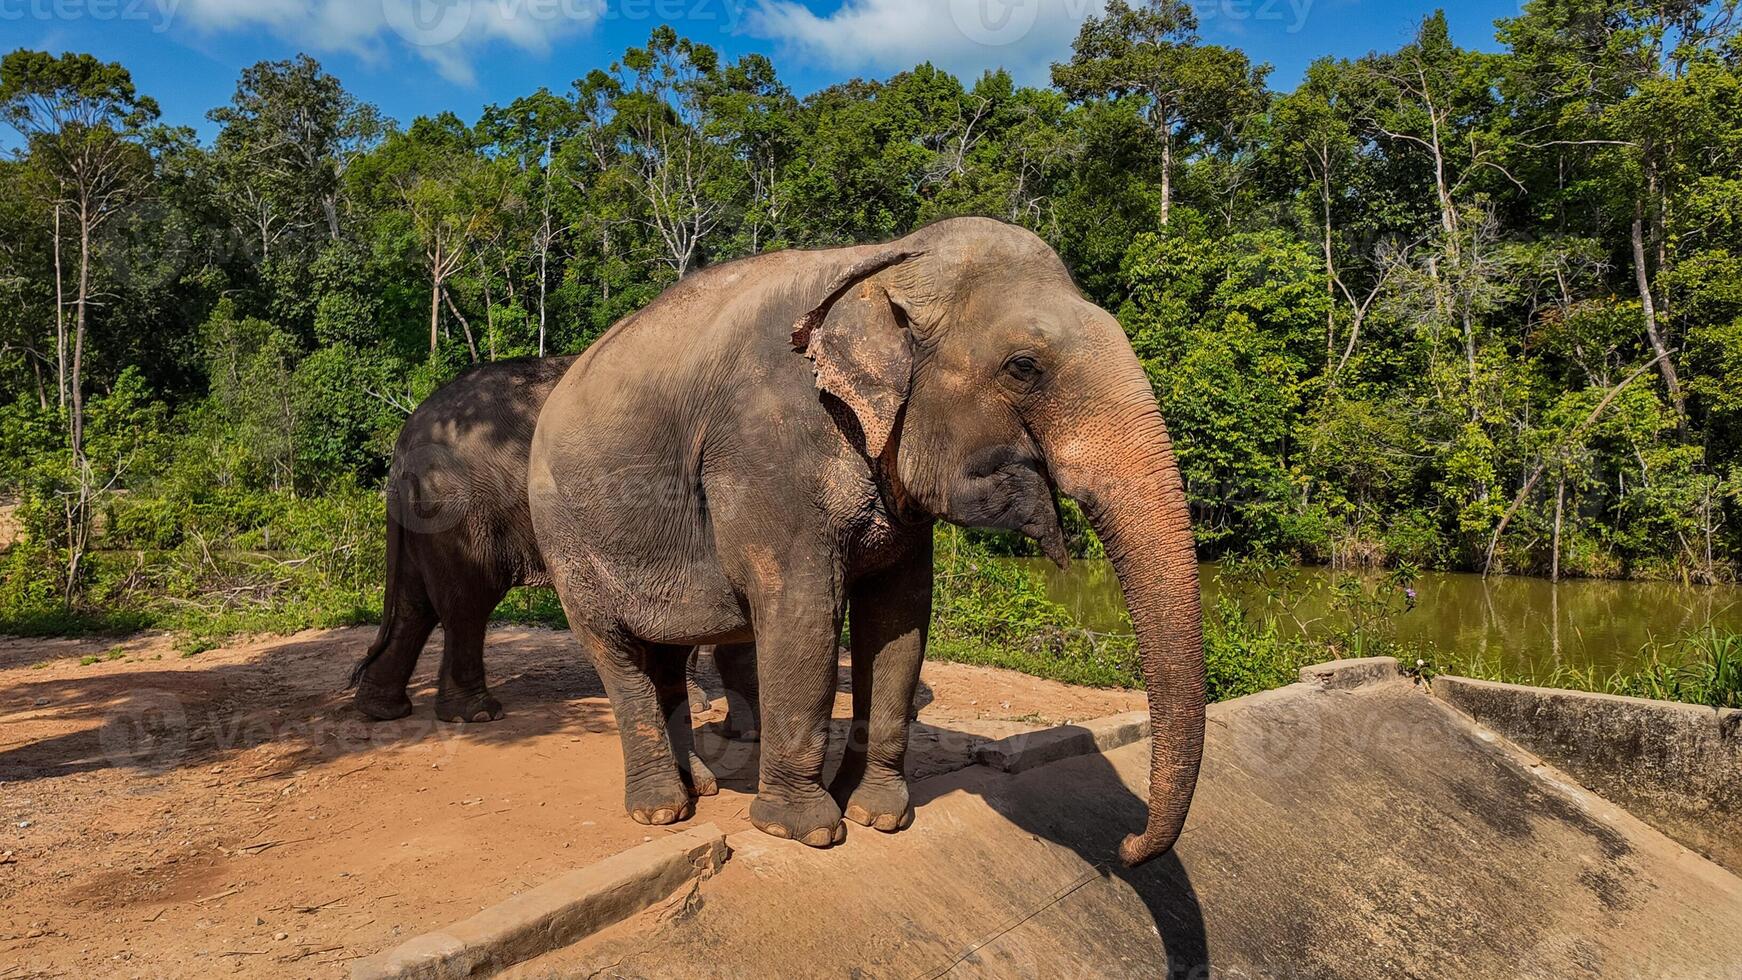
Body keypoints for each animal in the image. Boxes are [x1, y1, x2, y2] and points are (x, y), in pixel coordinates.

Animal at [350, 356, 759, 762]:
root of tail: (406, 439)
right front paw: (722, 716)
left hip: (424, 518)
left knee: (415, 605)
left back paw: (381, 709)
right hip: (459, 513)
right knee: (467, 604)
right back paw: (477, 713)